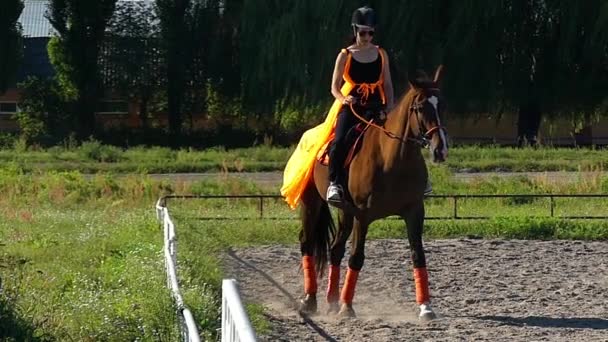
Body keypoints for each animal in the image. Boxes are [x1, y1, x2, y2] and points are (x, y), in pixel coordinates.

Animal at [298, 66, 446, 320]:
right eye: (419, 108)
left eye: (441, 106)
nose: (440, 149)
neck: (392, 160)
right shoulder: (363, 216)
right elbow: (357, 257)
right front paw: (347, 308)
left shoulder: (414, 212)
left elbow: (418, 255)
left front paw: (426, 307)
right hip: (312, 204)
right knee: (307, 244)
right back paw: (310, 300)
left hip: (345, 212)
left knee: (335, 250)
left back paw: (332, 301)